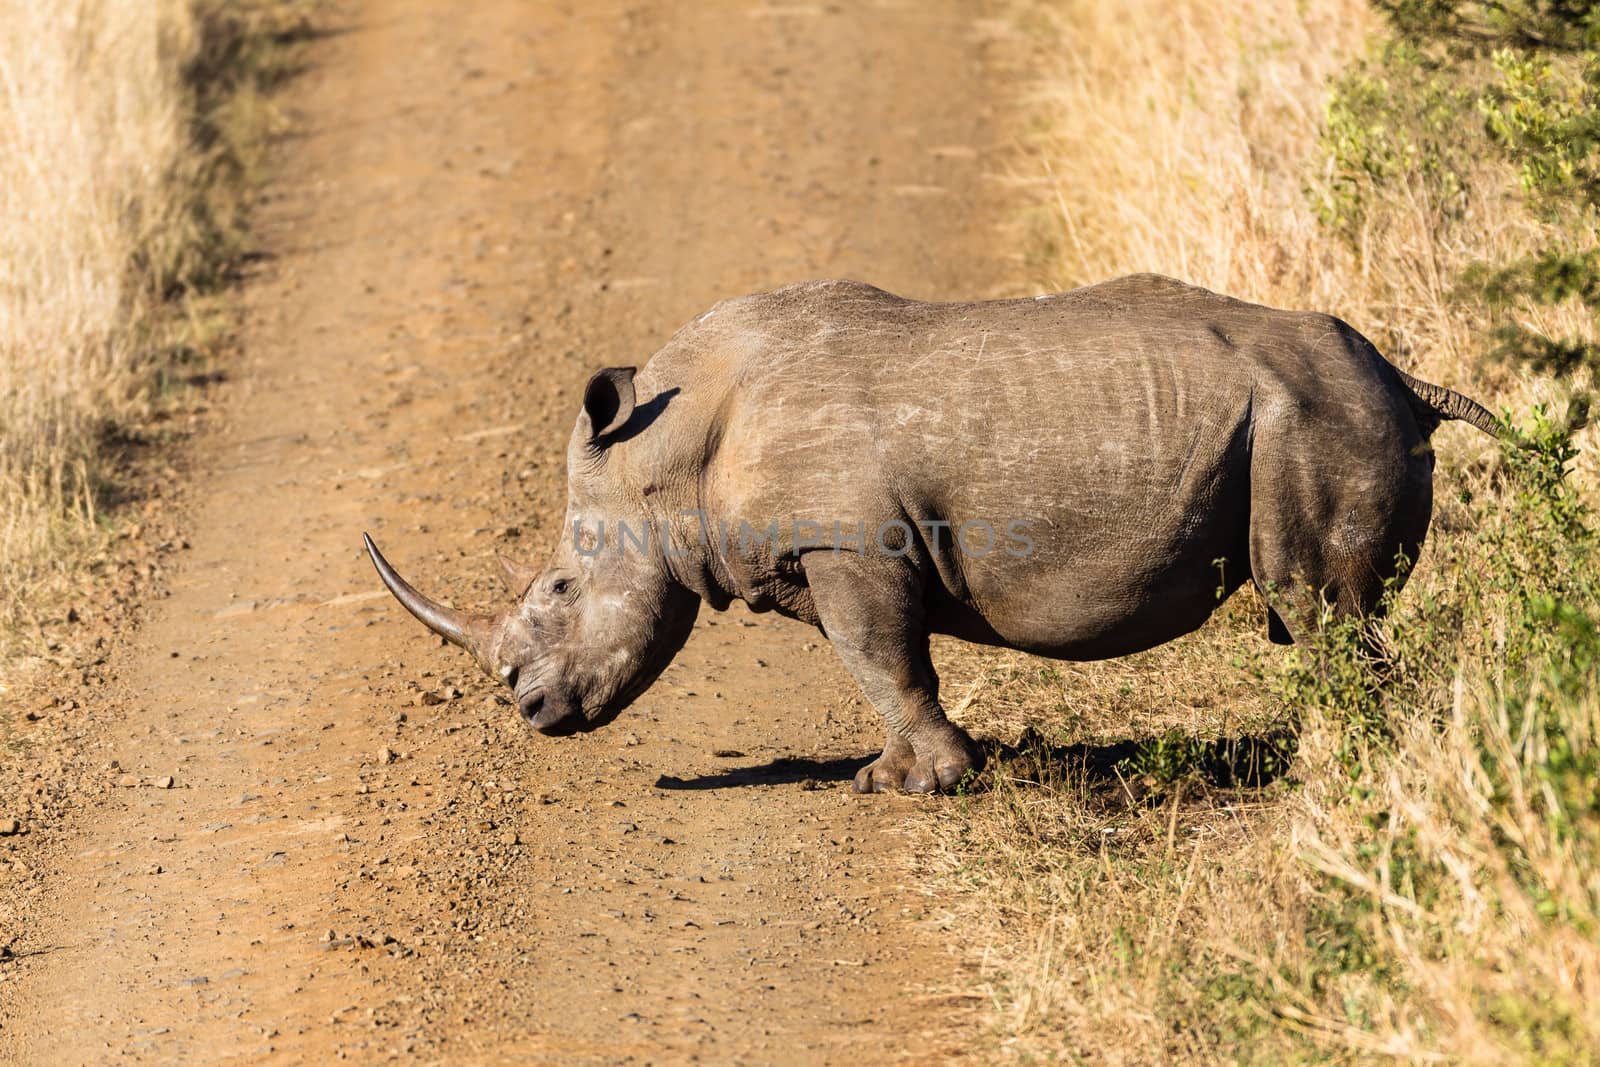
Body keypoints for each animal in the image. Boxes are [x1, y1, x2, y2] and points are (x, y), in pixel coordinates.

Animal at [366, 273, 1497, 793]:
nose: (532, 711)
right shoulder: (835, 553)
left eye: (559, 589)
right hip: (1317, 411)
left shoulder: (849, 542)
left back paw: (1335, 770)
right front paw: (898, 773)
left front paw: (916, 785)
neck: (667, 452)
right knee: (1326, 617)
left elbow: (882, 658)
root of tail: (1407, 378)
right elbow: (879, 663)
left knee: (1317, 610)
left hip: (1317, 416)